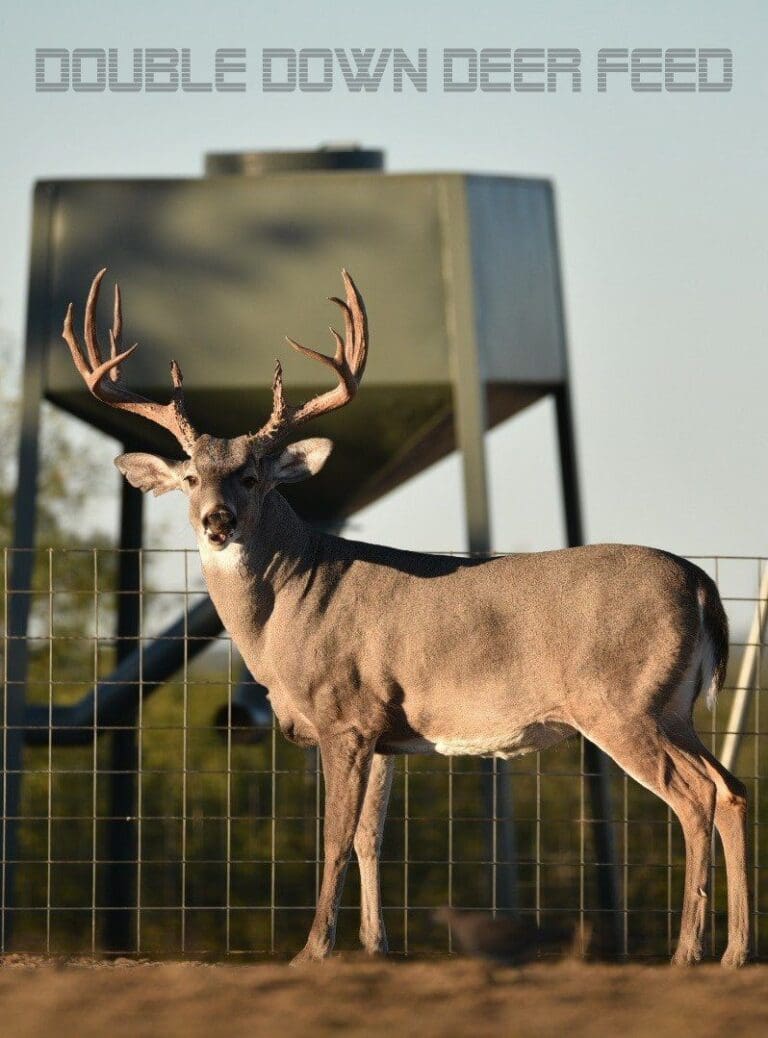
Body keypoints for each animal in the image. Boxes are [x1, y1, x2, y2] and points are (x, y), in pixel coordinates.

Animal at [62, 268, 749, 968]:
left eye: (252, 477)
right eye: (192, 477)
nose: (217, 521)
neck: (290, 607)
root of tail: (702, 584)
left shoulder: (342, 714)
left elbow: (336, 837)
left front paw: (314, 949)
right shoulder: (383, 729)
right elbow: (371, 837)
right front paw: (376, 946)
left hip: (621, 702)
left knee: (695, 797)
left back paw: (687, 953)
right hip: (673, 706)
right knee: (730, 789)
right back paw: (733, 952)